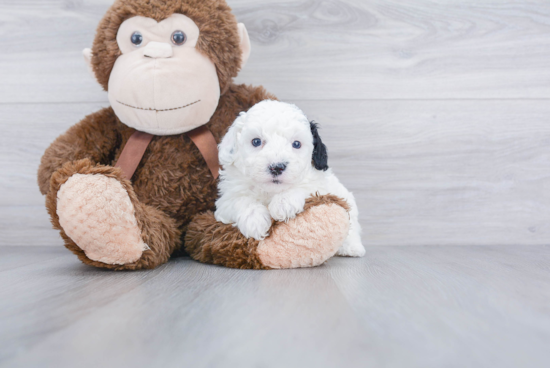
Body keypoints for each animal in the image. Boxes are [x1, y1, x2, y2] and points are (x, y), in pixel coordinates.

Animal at [216, 99, 366, 258]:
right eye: (256, 141)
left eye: (296, 144)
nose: (277, 167)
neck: (271, 191)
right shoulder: (225, 201)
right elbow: (240, 200)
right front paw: (255, 221)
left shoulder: (320, 185)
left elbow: (306, 188)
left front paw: (283, 203)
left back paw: (352, 248)